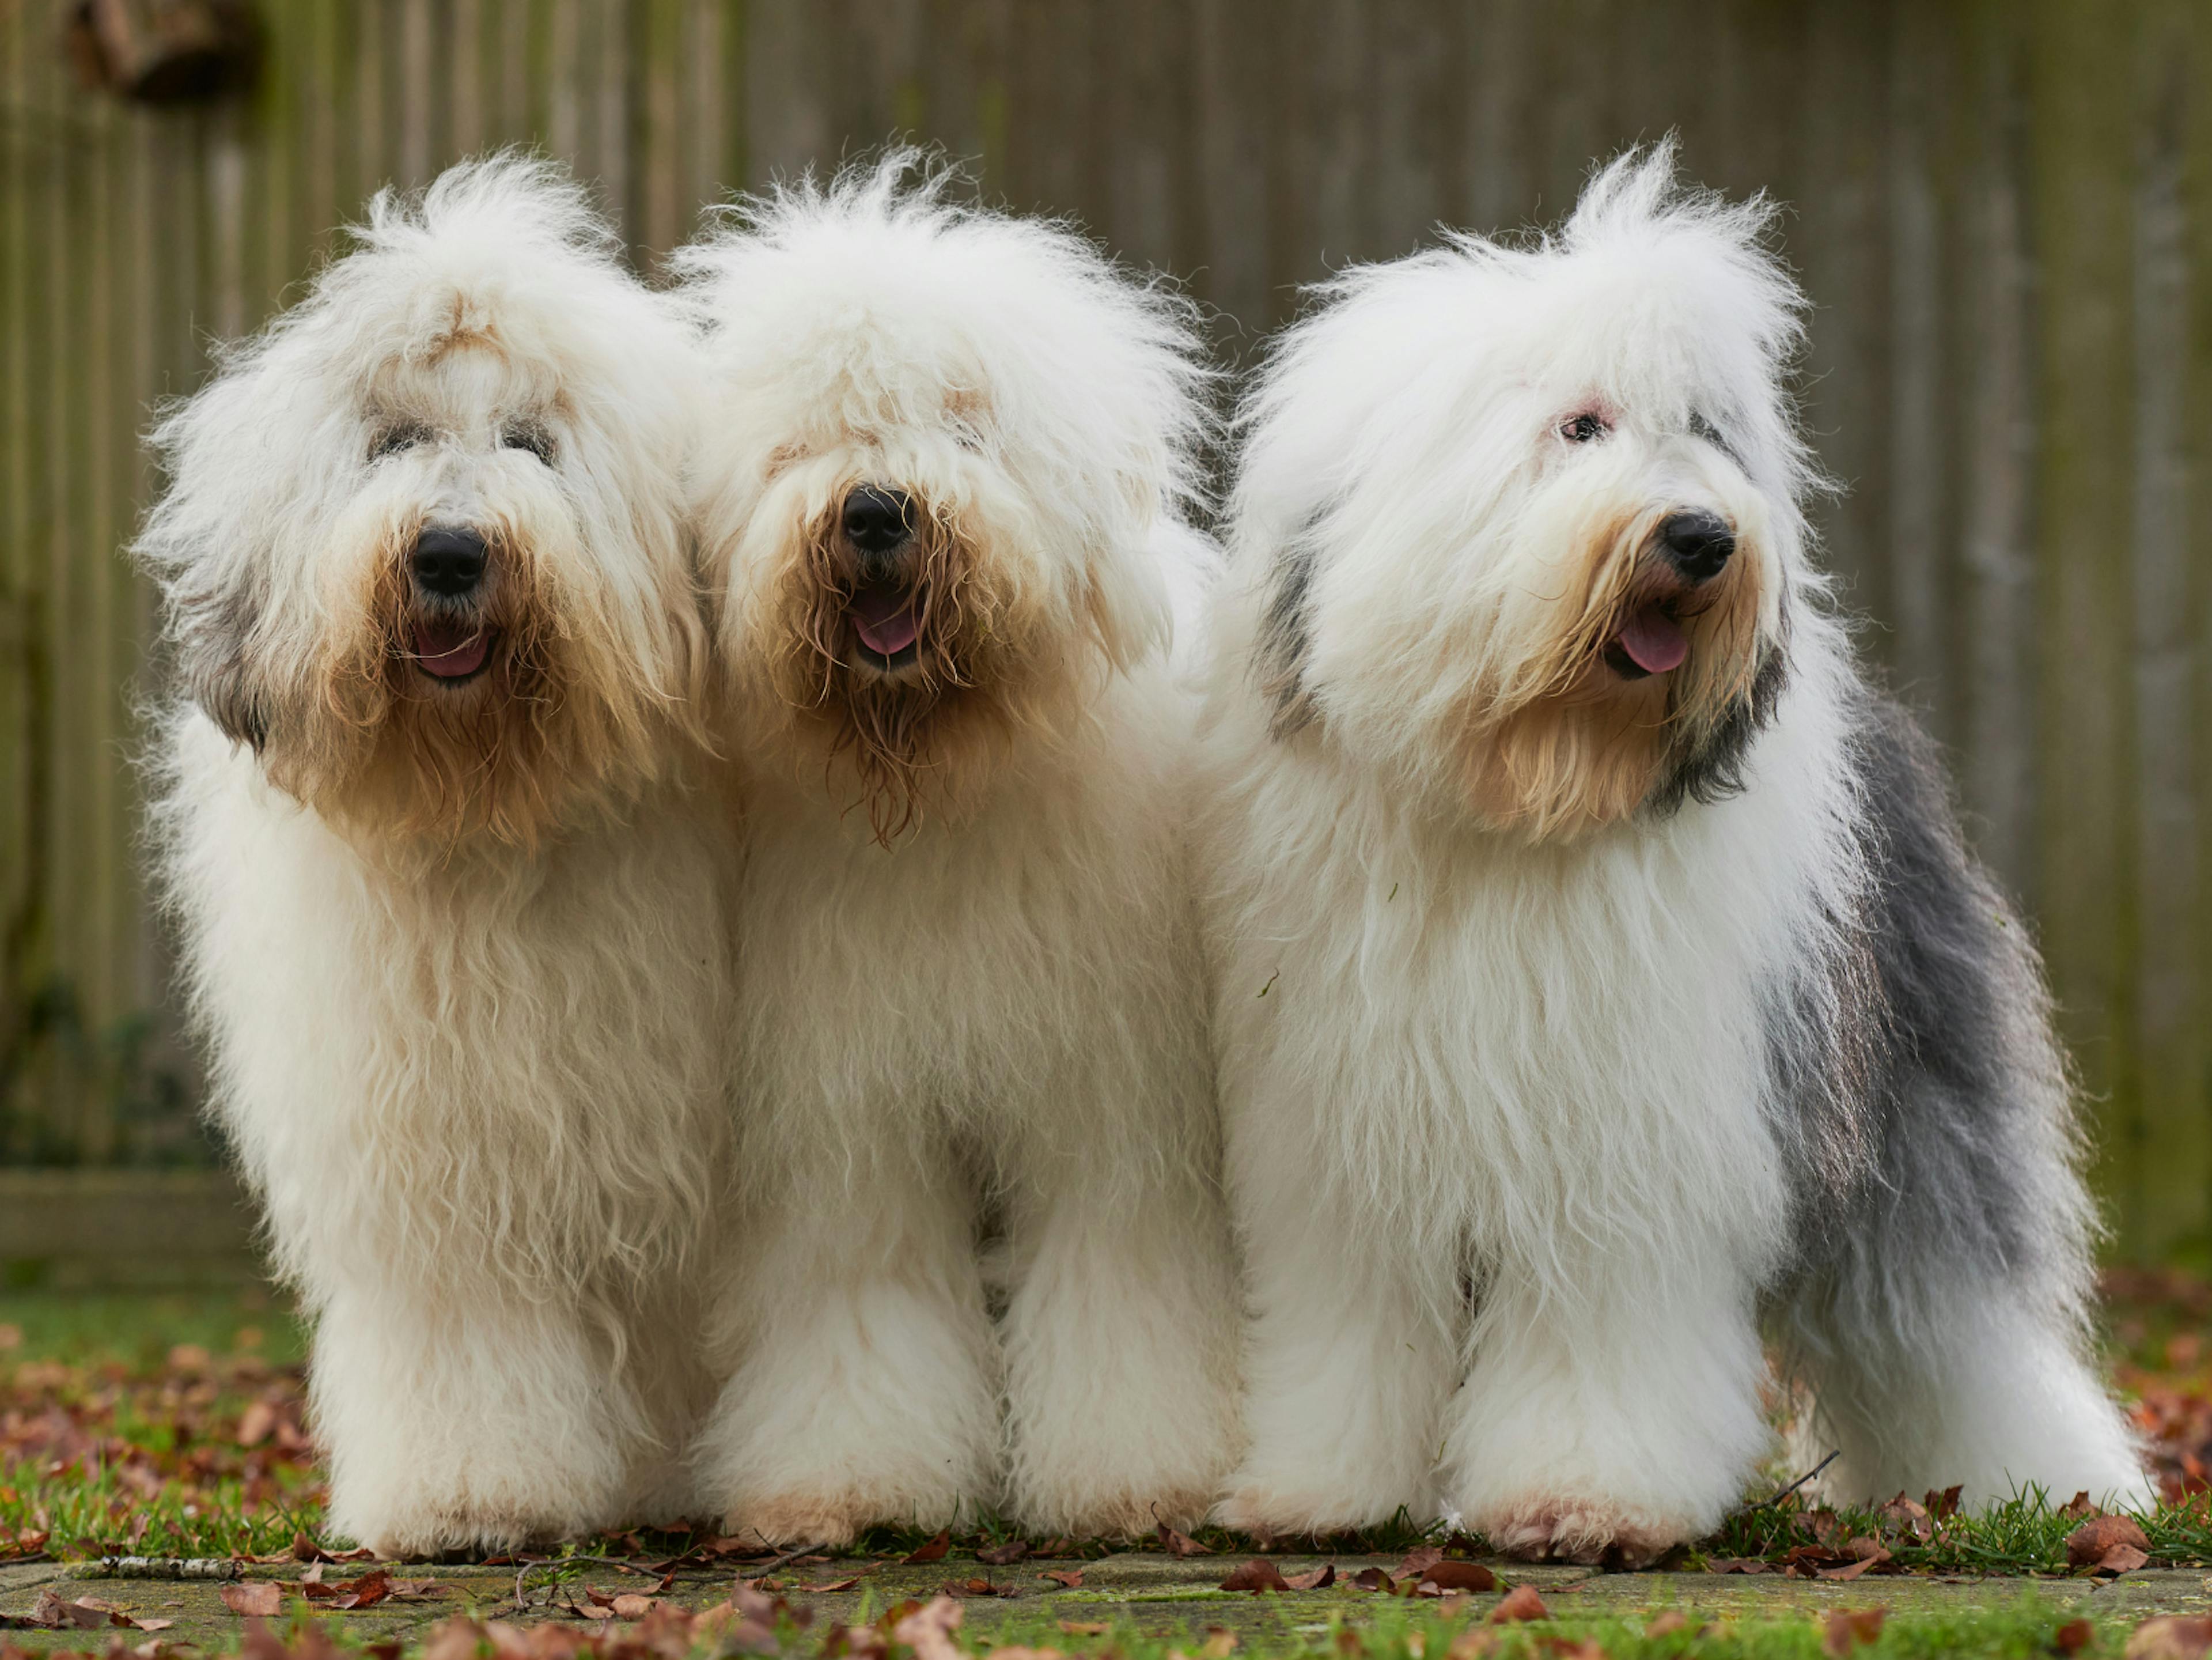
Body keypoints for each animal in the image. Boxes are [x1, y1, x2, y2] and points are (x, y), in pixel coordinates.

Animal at [140, 156, 734, 1558]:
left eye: (532, 441)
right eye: (394, 441)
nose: (452, 552)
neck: (490, 809)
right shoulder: (441, 1141)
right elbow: (468, 1318)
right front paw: (471, 1498)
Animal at [672, 159, 1238, 1549]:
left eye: (968, 429)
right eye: (804, 443)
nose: (876, 510)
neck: (936, 789)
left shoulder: (1111, 1104)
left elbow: (1116, 1277)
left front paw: (1132, 1477)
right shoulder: (845, 1115)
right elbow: (859, 1294)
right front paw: (846, 1478)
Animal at [1203, 146, 2150, 1576]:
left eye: (1705, 429)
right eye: (1581, 427)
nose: (1703, 538)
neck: (1528, 797)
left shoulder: (1627, 1144)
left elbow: (1598, 1328)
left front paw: (1585, 1498)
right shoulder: (1341, 1146)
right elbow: (1350, 1324)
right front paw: (1320, 1488)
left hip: (1909, 1115)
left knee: (1952, 1325)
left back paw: (2049, 1493)